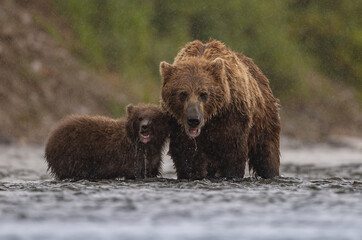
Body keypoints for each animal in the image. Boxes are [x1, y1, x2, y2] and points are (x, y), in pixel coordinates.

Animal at [160, 40, 282, 179]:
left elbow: (233, 155)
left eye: (203, 94)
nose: (193, 120)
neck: (211, 119)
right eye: (183, 94)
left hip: (264, 121)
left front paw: (231, 173)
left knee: (267, 154)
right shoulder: (179, 128)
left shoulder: (231, 118)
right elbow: (187, 157)